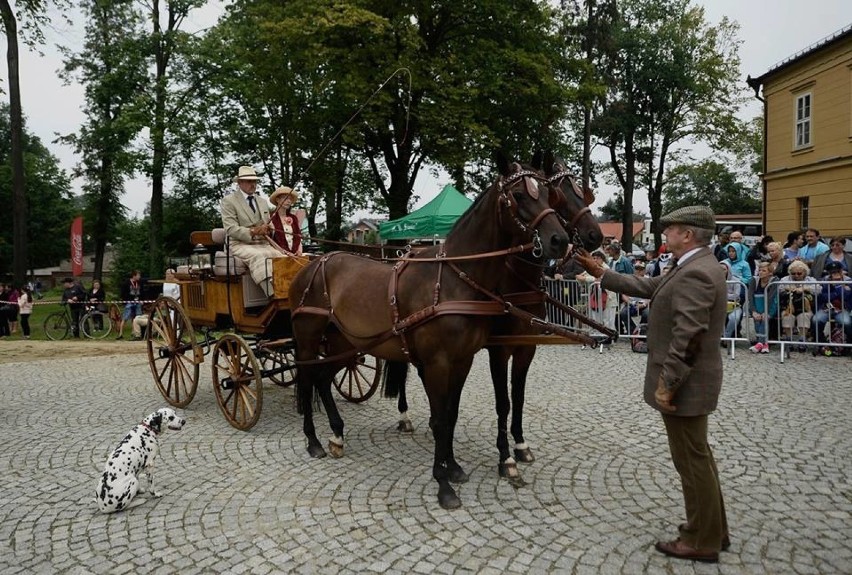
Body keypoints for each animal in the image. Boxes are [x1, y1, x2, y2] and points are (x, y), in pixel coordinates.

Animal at [290, 156, 568, 508]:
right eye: (518, 195)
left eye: (548, 194)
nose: (560, 240)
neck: (455, 280)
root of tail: (314, 262)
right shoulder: (438, 362)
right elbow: (439, 419)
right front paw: (443, 483)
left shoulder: (463, 361)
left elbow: (451, 414)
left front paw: (454, 467)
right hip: (308, 339)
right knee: (307, 378)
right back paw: (312, 440)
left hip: (347, 344)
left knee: (324, 379)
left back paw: (337, 435)